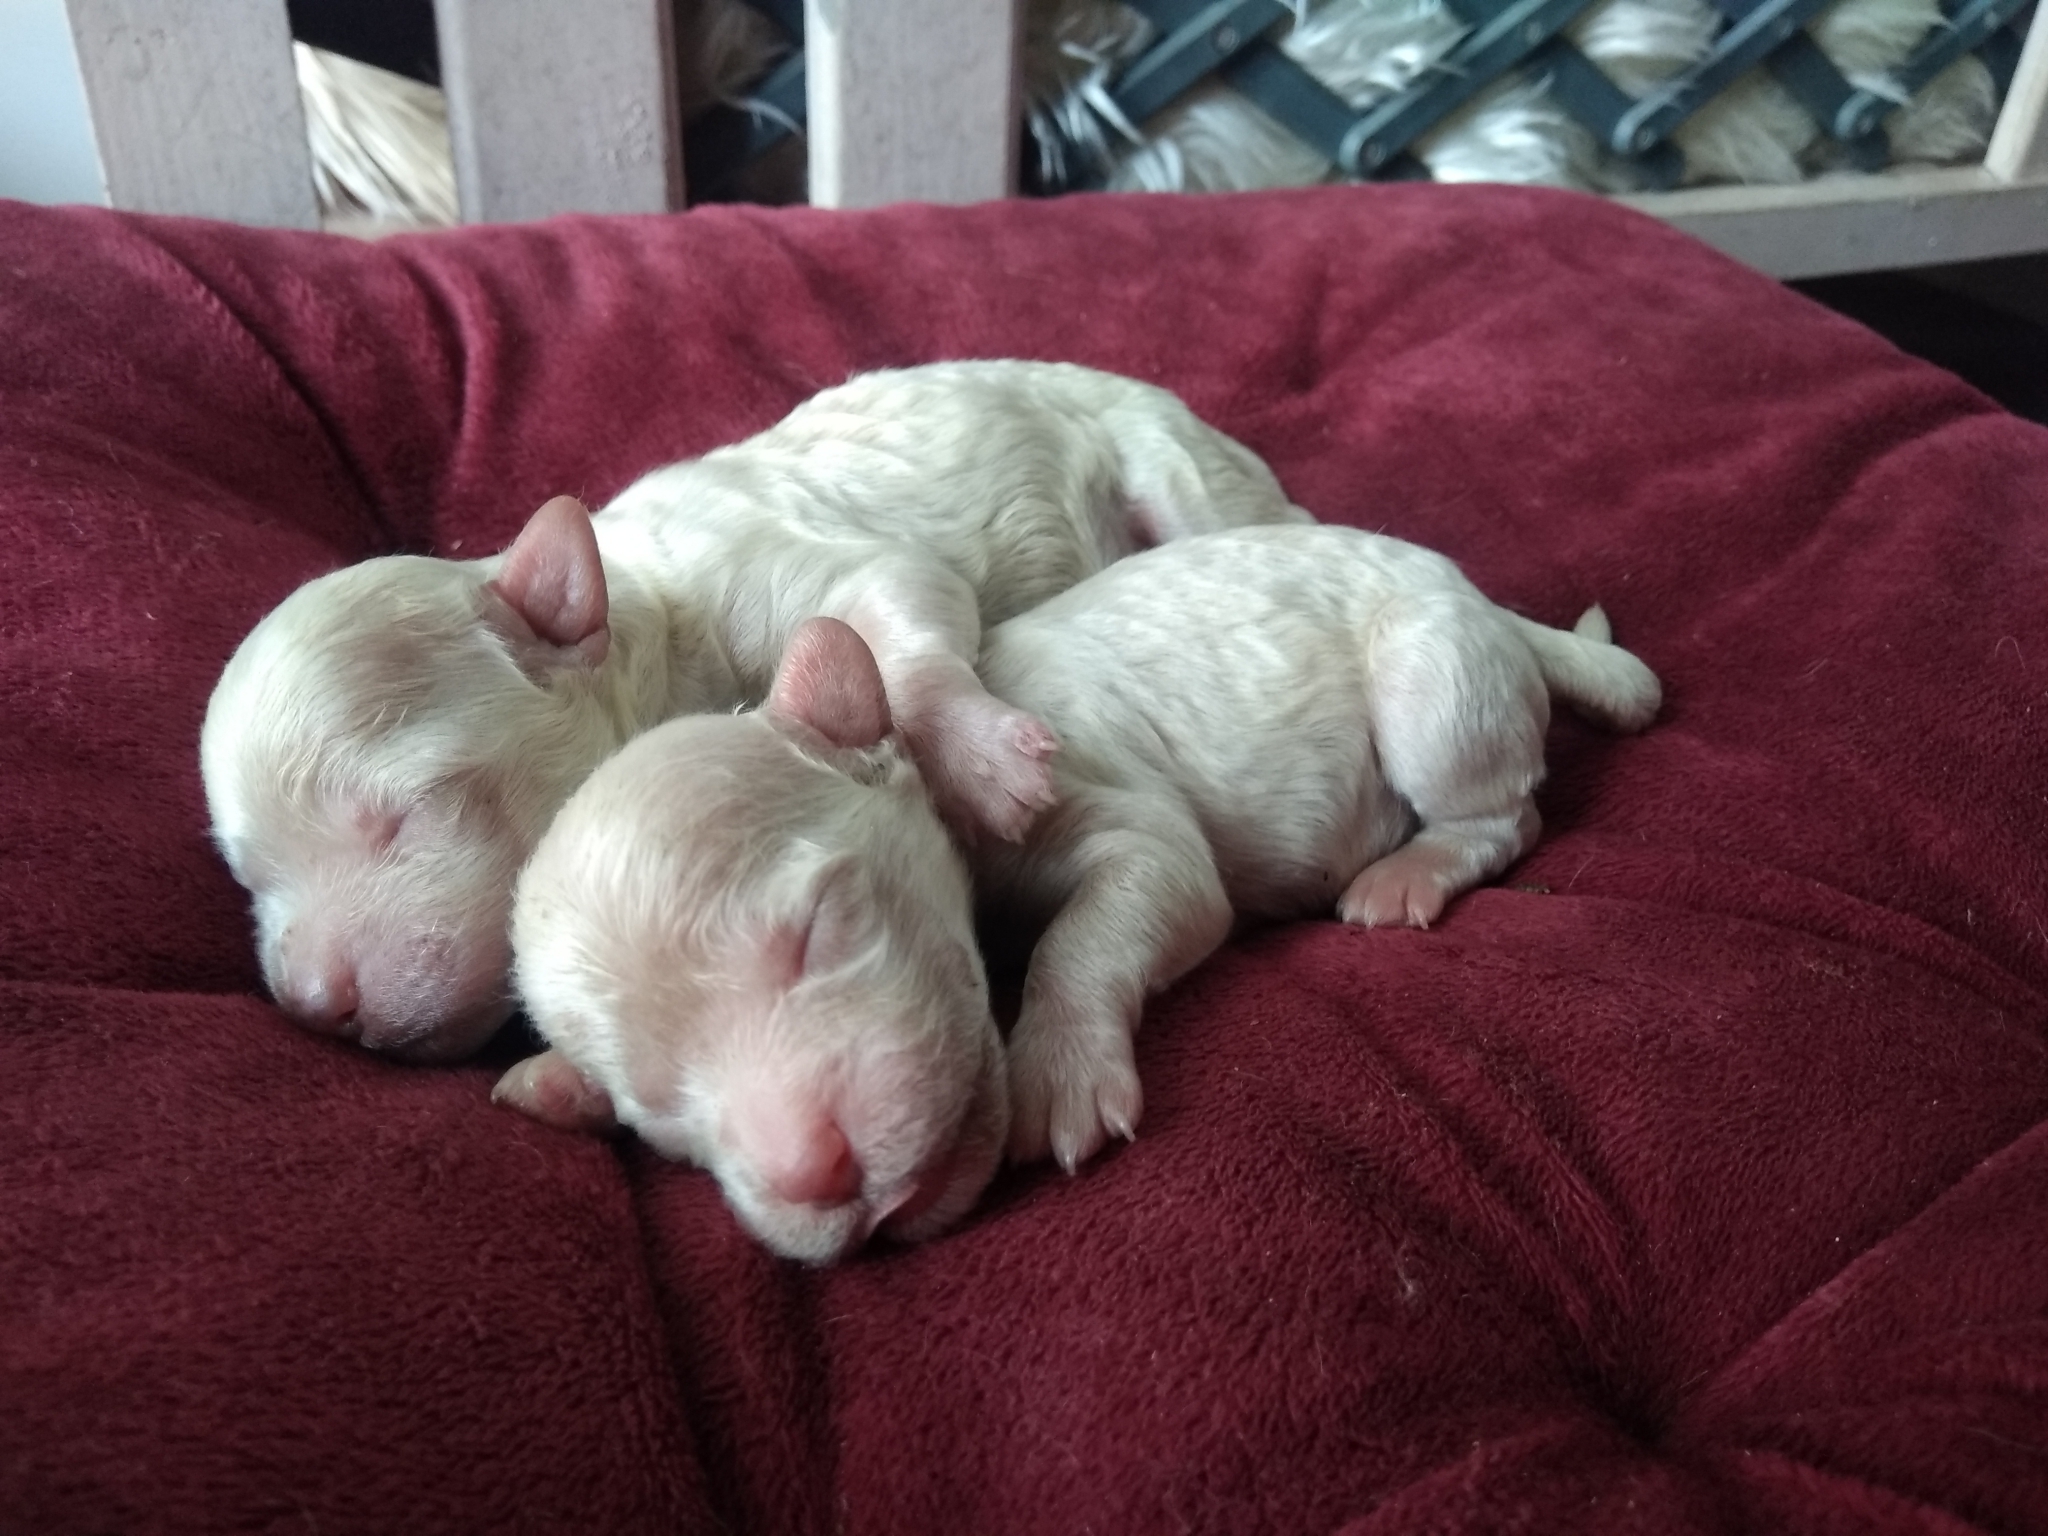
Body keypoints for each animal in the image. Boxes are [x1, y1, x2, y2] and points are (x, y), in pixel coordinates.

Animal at [200, 361, 1308, 1064]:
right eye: (247, 877)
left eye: (406, 813)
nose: (314, 1005)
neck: (640, 609)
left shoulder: (780, 567)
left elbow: (901, 612)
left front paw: (983, 758)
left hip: (1176, 468)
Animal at [496, 524, 1660, 1261]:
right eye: (658, 1127)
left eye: (818, 930)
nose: (813, 1174)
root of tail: (1481, 600)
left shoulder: (1114, 814)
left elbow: (1099, 921)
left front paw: (1056, 1070)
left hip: (1433, 677)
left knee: (1506, 814)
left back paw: (1408, 870)